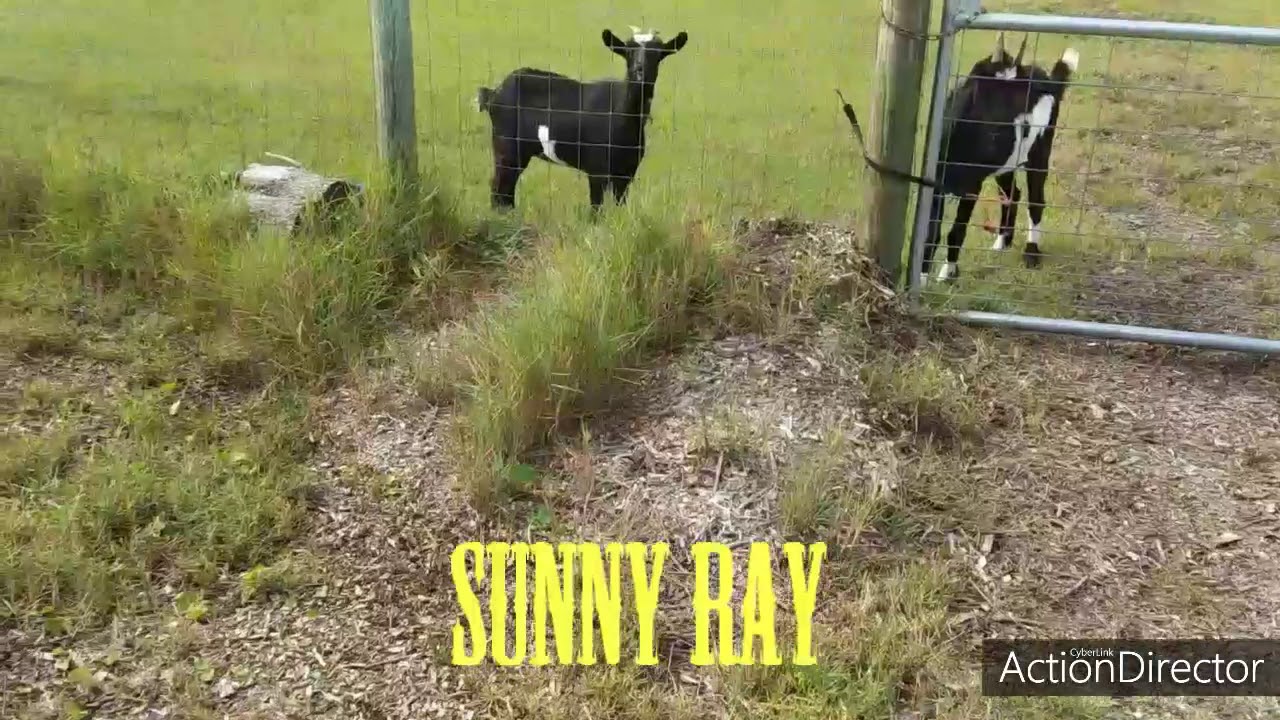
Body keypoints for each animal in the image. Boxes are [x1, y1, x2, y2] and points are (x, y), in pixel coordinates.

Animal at [475, 26, 689, 213]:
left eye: (658, 54)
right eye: (628, 52)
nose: (640, 70)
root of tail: (493, 93)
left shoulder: (626, 172)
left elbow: (619, 209)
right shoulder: (597, 170)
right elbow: (596, 209)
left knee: (505, 189)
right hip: (506, 146)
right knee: (499, 186)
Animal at [920, 33, 1080, 285]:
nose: (1024, 124)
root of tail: (1049, 80)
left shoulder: (972, 186)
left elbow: (957, 231)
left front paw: (948, 273)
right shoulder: (936, 179)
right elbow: (931, 231)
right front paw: (921, 277)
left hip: (1039, 151)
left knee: (1036, 200)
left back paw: (1031, 253)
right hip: (1007, 164)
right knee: (1013, 193)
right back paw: (1002, 242)